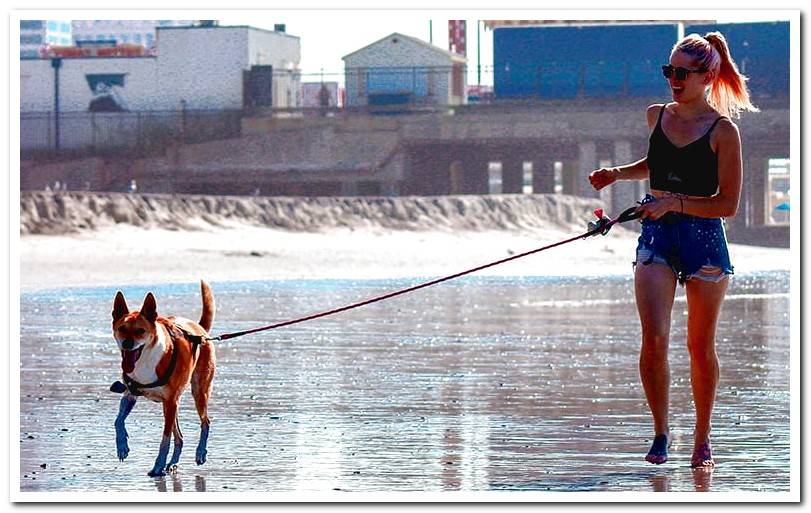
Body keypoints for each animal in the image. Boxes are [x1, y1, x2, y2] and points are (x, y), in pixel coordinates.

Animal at [112, 280, 219, 476]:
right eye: (122, 328)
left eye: (140, 331)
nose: (127, 344)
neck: (145, 359)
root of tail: (200, 330)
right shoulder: (130, 394)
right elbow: (118, 420)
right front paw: (122, 446)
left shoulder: (170, 401)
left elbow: (165, 439)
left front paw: (158, 465)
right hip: (171, 404)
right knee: (180, 437)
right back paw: (173, 462)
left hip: (197, 392)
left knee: (205, 422)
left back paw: (200, 452)